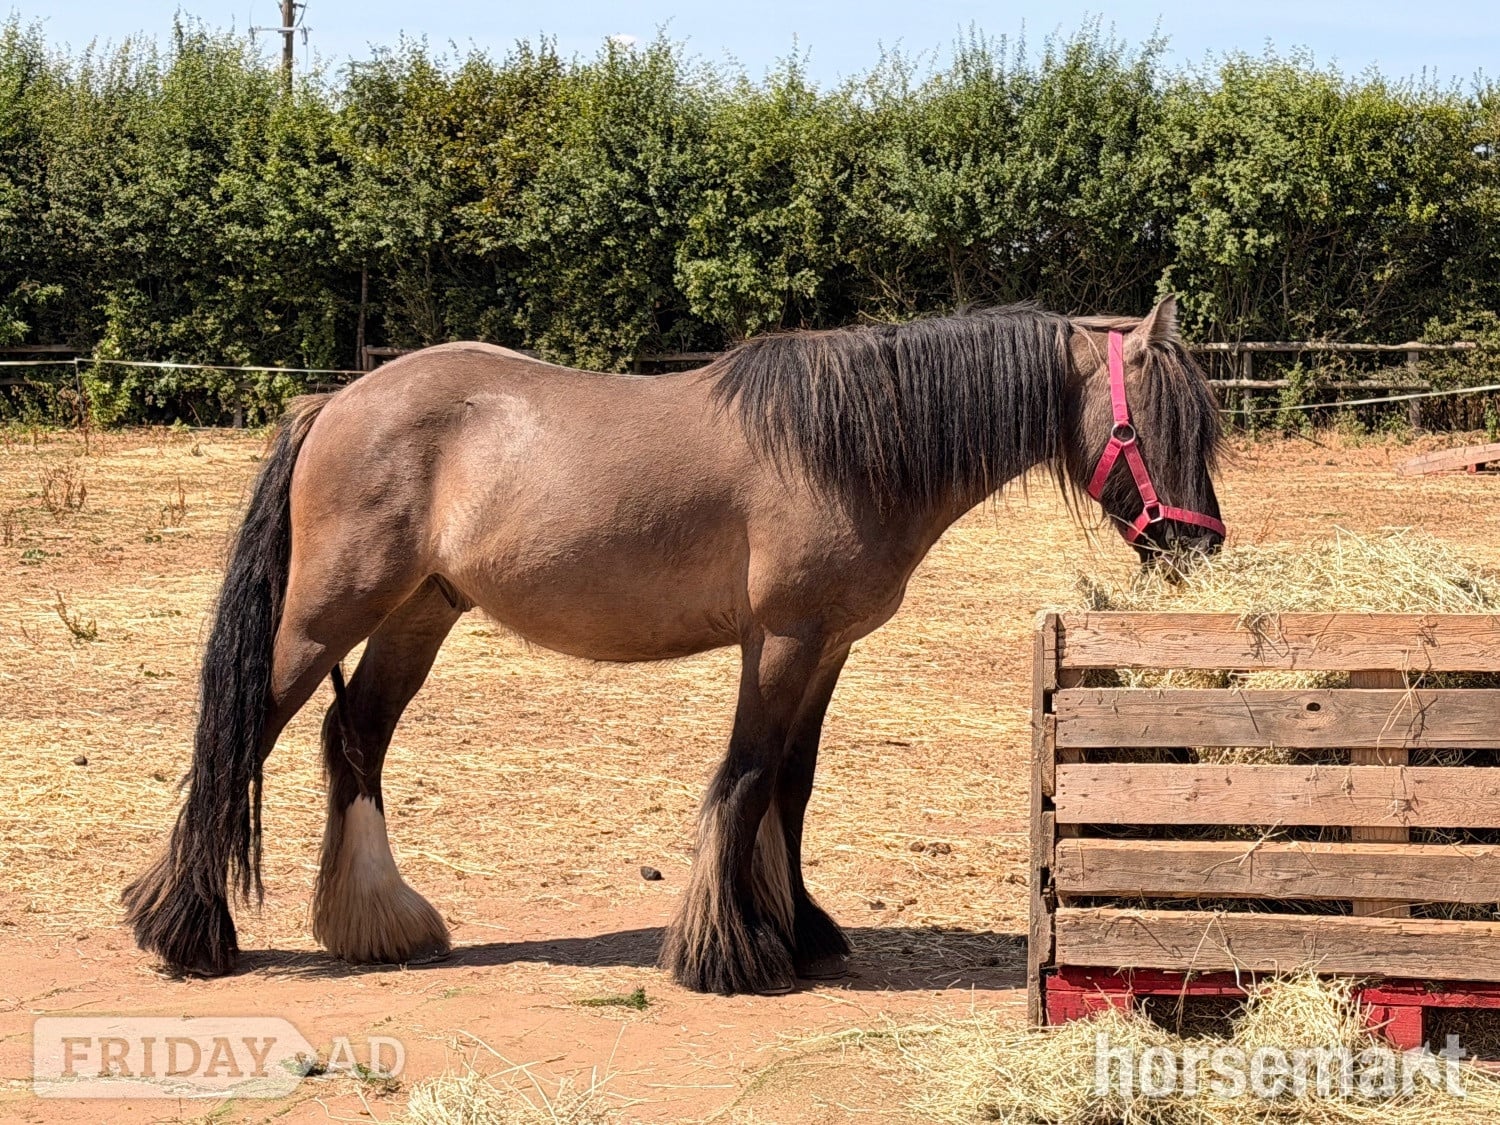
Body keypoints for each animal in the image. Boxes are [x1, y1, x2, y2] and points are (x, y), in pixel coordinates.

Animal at [123, 296, 1224, 996]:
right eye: (1157, 423)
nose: (1199, 543)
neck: (846, 444)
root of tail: (334, 404)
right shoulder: (779, 641)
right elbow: (746, 776)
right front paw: (726, 954)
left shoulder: (828, 647)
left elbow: (791, 786)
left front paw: (800, 929)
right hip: (324, 617)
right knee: (240, 737)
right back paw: (190, 930)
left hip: (418, 614)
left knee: (353, 738)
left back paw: (380, 924)